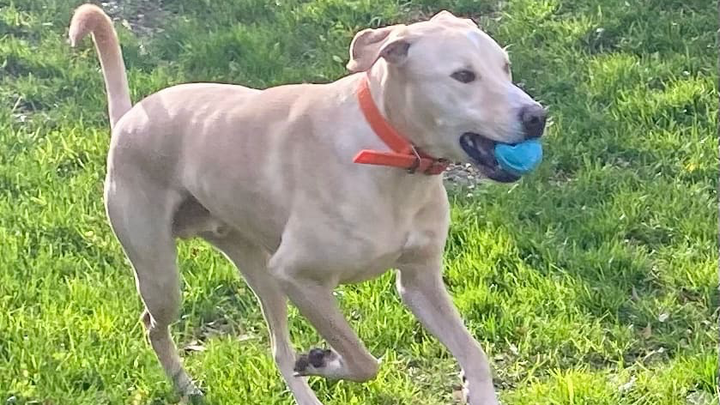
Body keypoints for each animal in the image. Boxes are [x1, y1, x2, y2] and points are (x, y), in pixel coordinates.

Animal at [69, 4, 546, 404]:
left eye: (504, 67)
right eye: (463, 76)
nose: (537, 116)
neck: (390, 156)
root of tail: (128, 119)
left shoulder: (418, 279)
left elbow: (474, 355)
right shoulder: (298, 277)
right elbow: (362, 359)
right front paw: (324, 360)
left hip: (258, 269)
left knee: (279, 352)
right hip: (165, 276)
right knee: (154, 323)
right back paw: (185, 384)